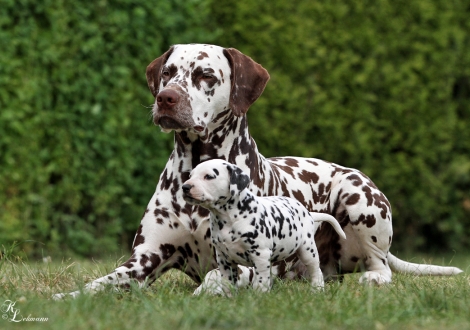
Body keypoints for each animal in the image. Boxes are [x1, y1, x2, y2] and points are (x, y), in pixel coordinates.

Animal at [182, 160, 346, 294]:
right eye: (190, 175)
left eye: (208, 176)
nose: (185, 187)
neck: (228, 218)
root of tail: (308, 213)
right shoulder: (224, 259)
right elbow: (227, 284)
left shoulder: (260, 255)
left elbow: (260, 282)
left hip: (307, 250)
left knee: (316, 271)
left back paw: (317, 290)